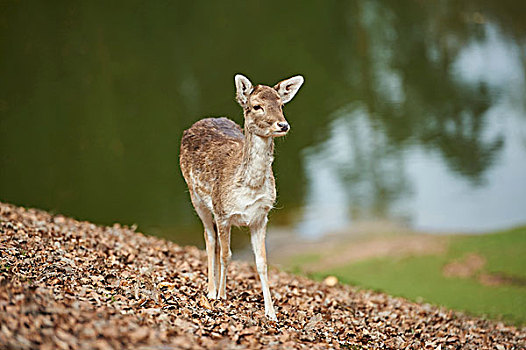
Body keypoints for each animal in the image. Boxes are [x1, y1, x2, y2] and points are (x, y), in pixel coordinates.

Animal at [180, 74, 306, 320]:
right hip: (195, 196)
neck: (249, 188)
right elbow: (226, 254)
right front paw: (221, 295)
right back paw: (211, 291)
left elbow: (262, 262)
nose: (283, 125)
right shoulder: (223, 213)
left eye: (281, 104)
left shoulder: (261, 217)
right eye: (256, 106)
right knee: (209, 237)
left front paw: (271, 312)